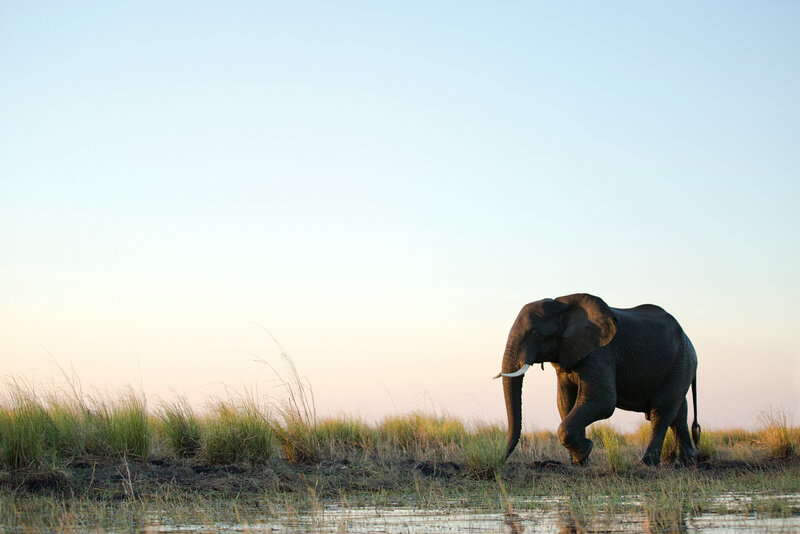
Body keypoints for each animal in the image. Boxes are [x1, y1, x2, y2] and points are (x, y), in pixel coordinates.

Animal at [494, 293, 699, 466]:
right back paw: (685, 463)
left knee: (661, 410)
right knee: (679, 411)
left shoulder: (600, 352)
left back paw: (646, 464)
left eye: (536, 333)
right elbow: (565, 402)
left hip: (680, 361)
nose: (501, 459)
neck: (563, 306)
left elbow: (602, 401)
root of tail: (690, 341)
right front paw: (579, 462)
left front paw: (586, 447)